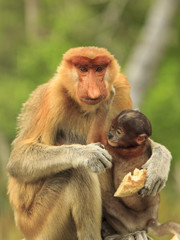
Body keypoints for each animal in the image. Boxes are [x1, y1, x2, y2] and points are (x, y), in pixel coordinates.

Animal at [87, 107, 180, 240]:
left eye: (119, 132)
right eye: (112, 128)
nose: (109, 135)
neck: (137, 145)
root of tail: (151, 219)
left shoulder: (116, 149)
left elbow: (94, 140)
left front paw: (103, 105)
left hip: (132, 221)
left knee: (104, 199)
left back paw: (125, 234)